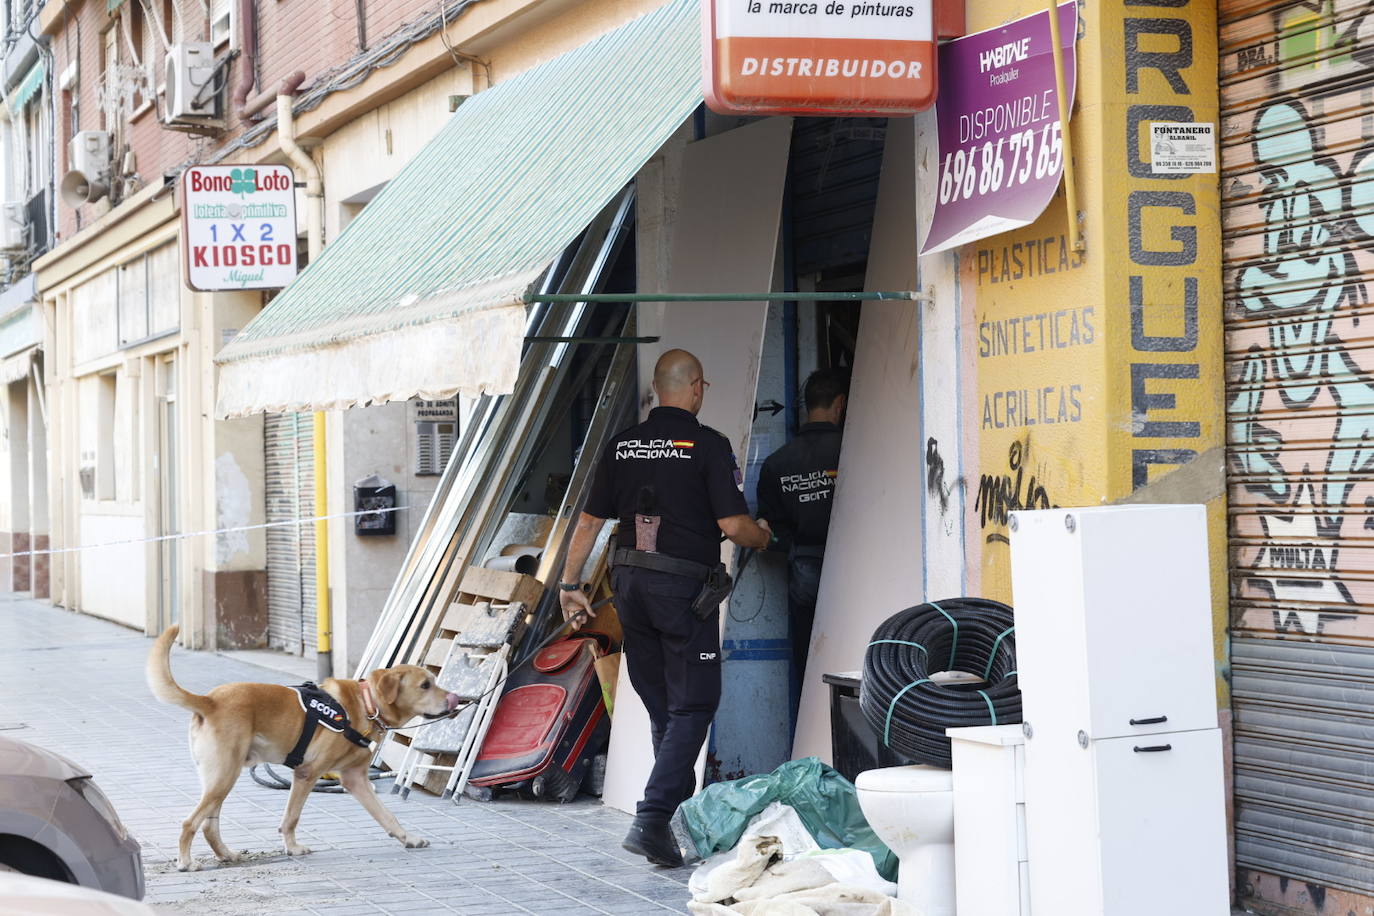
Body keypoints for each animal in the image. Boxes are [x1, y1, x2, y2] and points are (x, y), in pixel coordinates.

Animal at [147, 623, 461, 873]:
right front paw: (292, 847)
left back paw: (226, 855)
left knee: (209, 825)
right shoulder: (307, 774)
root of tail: (209, 700)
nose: (455, 699)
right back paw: (186, 862)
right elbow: (291, 817)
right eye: (425, 685)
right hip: (224, 776)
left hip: (220, 779)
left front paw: (409, 838)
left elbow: (387, 815)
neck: (365, 705)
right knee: (190, 822)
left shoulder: (356, 779)